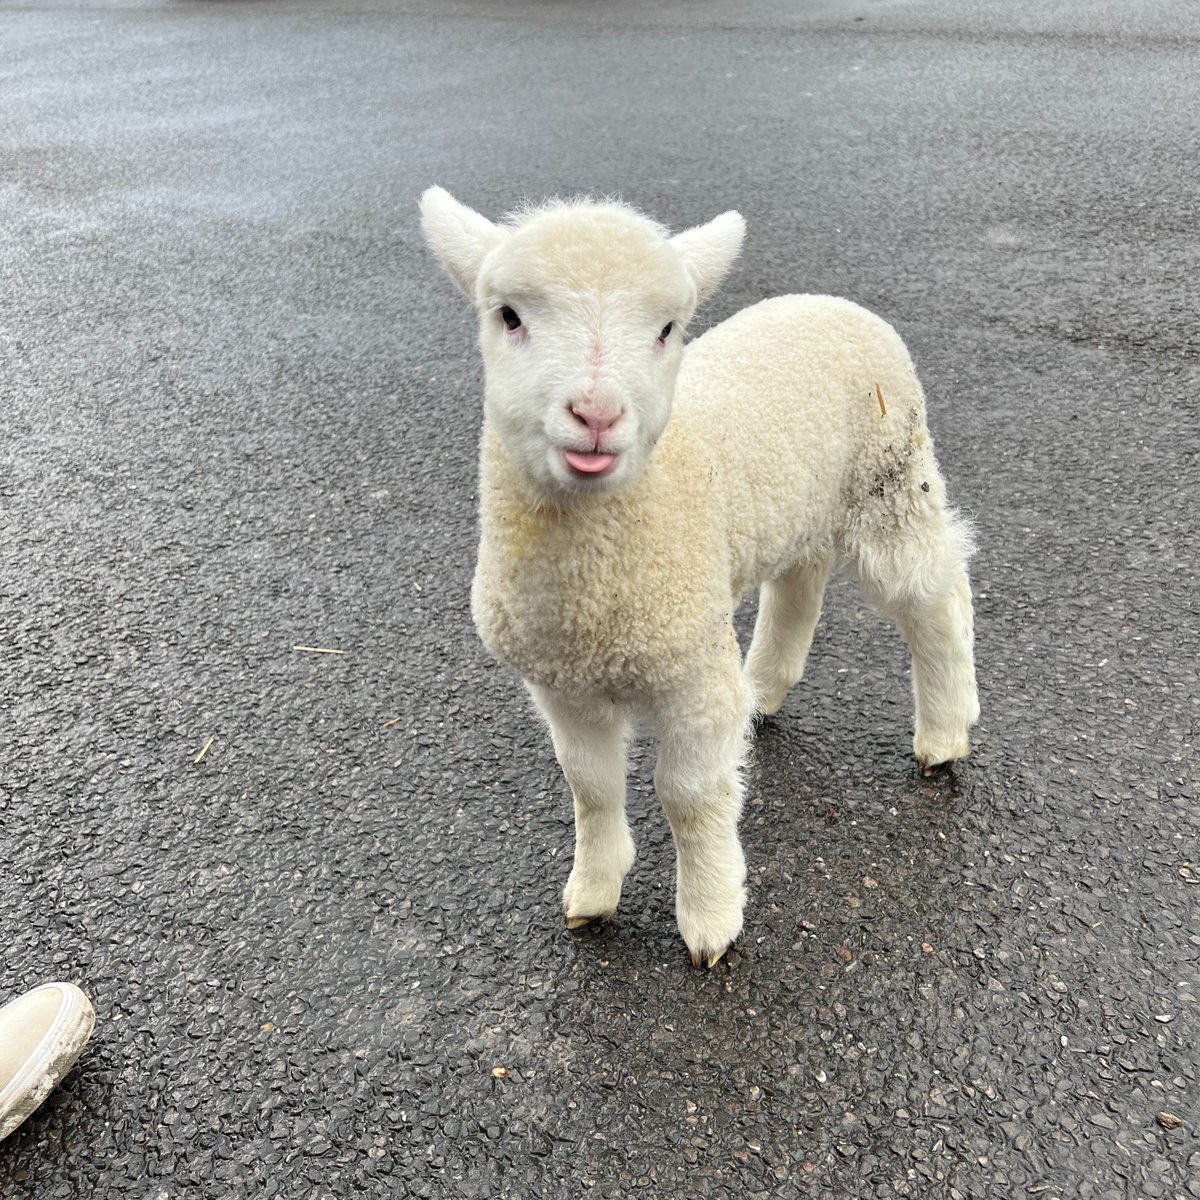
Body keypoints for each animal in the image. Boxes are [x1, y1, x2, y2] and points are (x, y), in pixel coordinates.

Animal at [417, 189, 979, 974]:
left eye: (666, 329)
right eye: (508, 316)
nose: (597, 415)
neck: (591, 597)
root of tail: (827, 300)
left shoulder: (690, 674)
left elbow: (687, 794)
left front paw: (710, 917)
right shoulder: (560, 683)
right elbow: (589, 783)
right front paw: (592, 893)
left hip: (892, 478)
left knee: (935, 593)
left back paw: (944, 733)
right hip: (795, 506)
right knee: (799, 584)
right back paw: (763, 689)